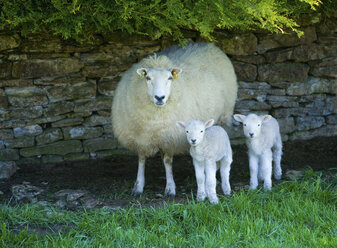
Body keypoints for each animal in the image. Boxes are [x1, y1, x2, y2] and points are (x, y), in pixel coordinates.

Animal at [110, 43, 236, 198]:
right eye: (148, 78)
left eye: (170, 78)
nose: (159, 97)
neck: (154, 120)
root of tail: (208, 44)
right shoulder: (141, 138)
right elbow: (141, 159)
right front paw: (138, 186)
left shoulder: (170, 137)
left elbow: (167, 161)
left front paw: (170, 187)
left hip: (223, 117)